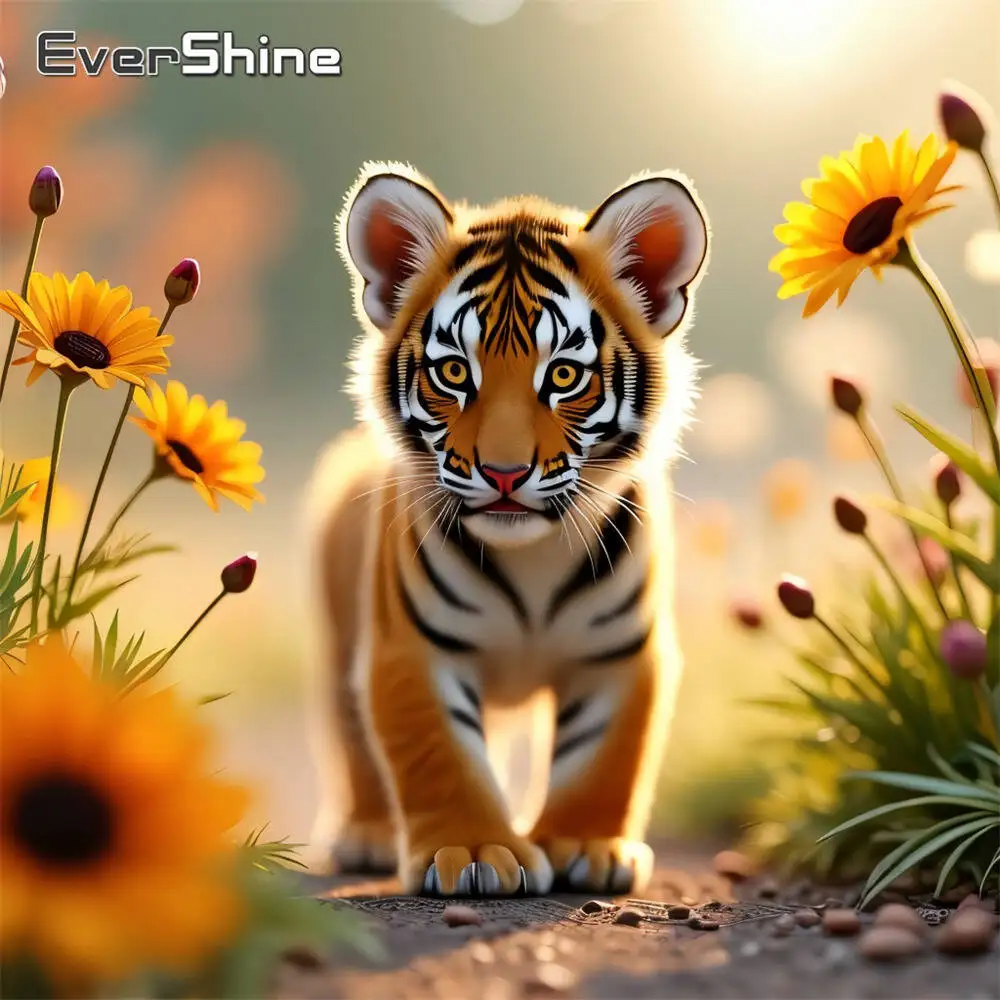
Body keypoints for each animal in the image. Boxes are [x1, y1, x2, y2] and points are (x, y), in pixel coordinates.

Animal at [306, 161, 710, 897]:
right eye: (453, 372)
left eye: (564, 375)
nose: (503, 473)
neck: (533, 560)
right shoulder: (412, 647)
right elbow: (440, 754)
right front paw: (472, 850)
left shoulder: (620, 653)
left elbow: (603, 756)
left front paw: (585, 845)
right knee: (352, 739)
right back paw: (369, 835)